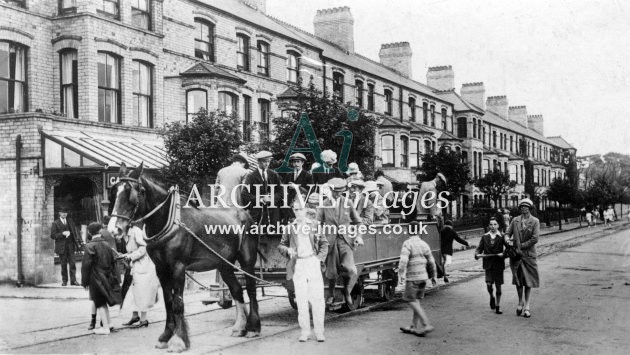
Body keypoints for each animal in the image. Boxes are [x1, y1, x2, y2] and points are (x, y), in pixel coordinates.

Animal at [107, 165, 260, 354]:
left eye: (133, 193)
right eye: (114, 192)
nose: (114, 230)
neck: (168, 221)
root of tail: (245, 214)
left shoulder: (178, 268)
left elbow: (178, 303)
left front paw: (179, 340)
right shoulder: (161, 269)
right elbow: (168, 302)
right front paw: (165, 337)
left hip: (247, 260)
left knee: (251, 289)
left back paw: (253, 327)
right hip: (224, 264)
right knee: (237, 290)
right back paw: (239, 327)